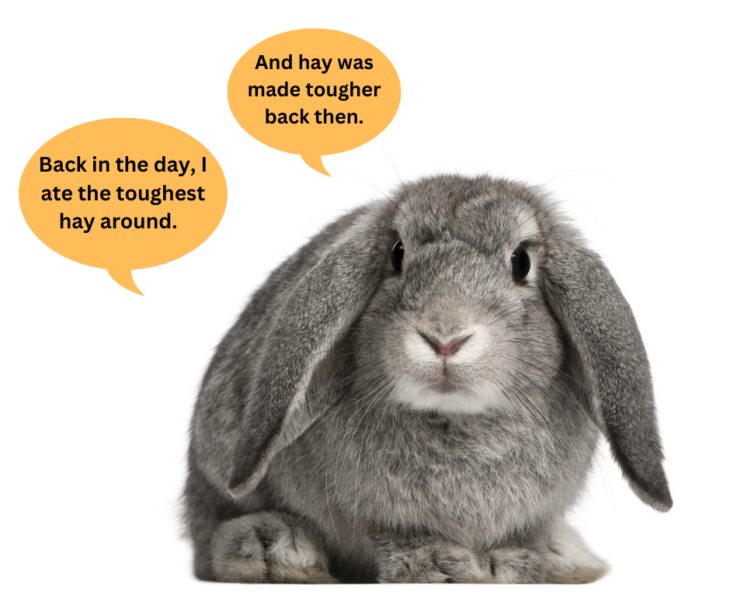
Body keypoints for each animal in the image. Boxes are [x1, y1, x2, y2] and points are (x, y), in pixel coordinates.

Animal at [183, 173, 672, 584]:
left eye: (521, 262)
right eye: (397, 254)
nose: (445, 337)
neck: (457, 417)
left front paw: (509, 564)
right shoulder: (383, 516)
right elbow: (400, 536)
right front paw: (441, 566)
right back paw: (275, 552)